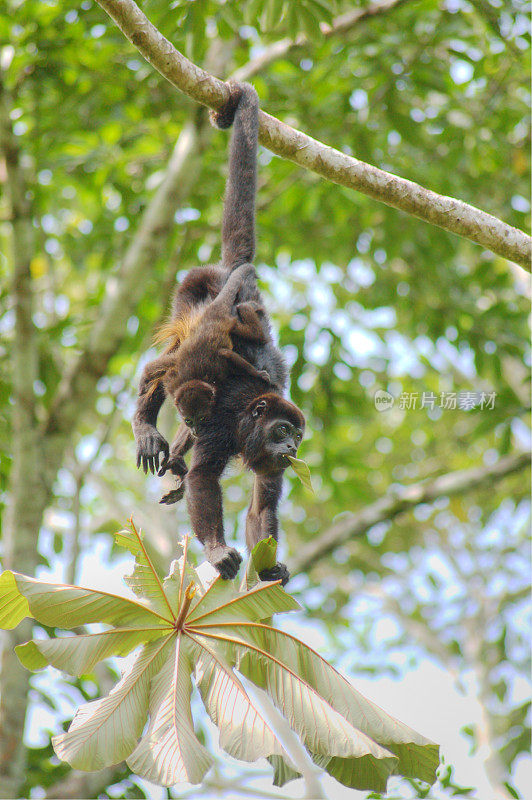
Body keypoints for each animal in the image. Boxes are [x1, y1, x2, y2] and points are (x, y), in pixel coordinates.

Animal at [133, 81, 306, 584]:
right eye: (282, 430)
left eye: (297, 437)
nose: (291, 445)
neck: (250, 419)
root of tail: (236, 278)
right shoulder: (223, 419)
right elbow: (205, 479)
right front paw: (215, 550)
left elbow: (262, 503)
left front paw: (270, 567)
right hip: (193, 296)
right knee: (169, 366)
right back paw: (148, 429)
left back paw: (174, 459)